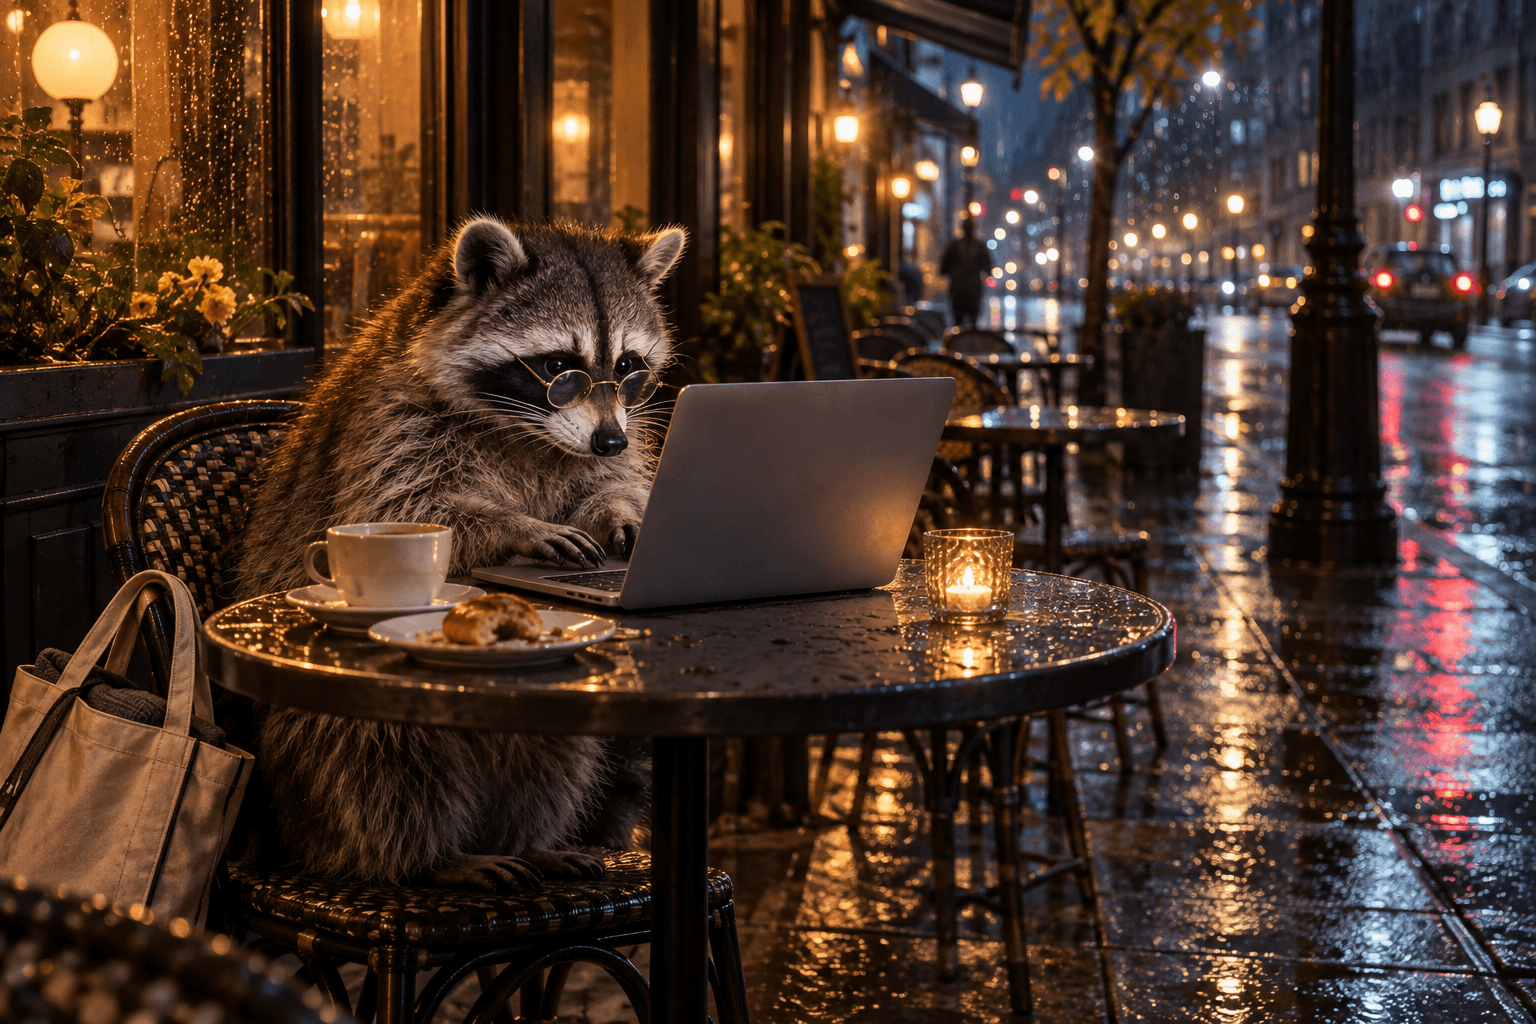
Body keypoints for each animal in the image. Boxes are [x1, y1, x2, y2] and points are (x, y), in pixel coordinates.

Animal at [229, 217, 685, 890]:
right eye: (558, 367)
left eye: (628, 367)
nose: (609, 439)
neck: (528, 433)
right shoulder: (394, 421)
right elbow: (410, 505)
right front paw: (511, 524)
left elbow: (607, 483)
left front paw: (622, 513)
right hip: (318, 743)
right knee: (376, 754)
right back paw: (433, 857)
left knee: (554, 755)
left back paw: (527, 840)